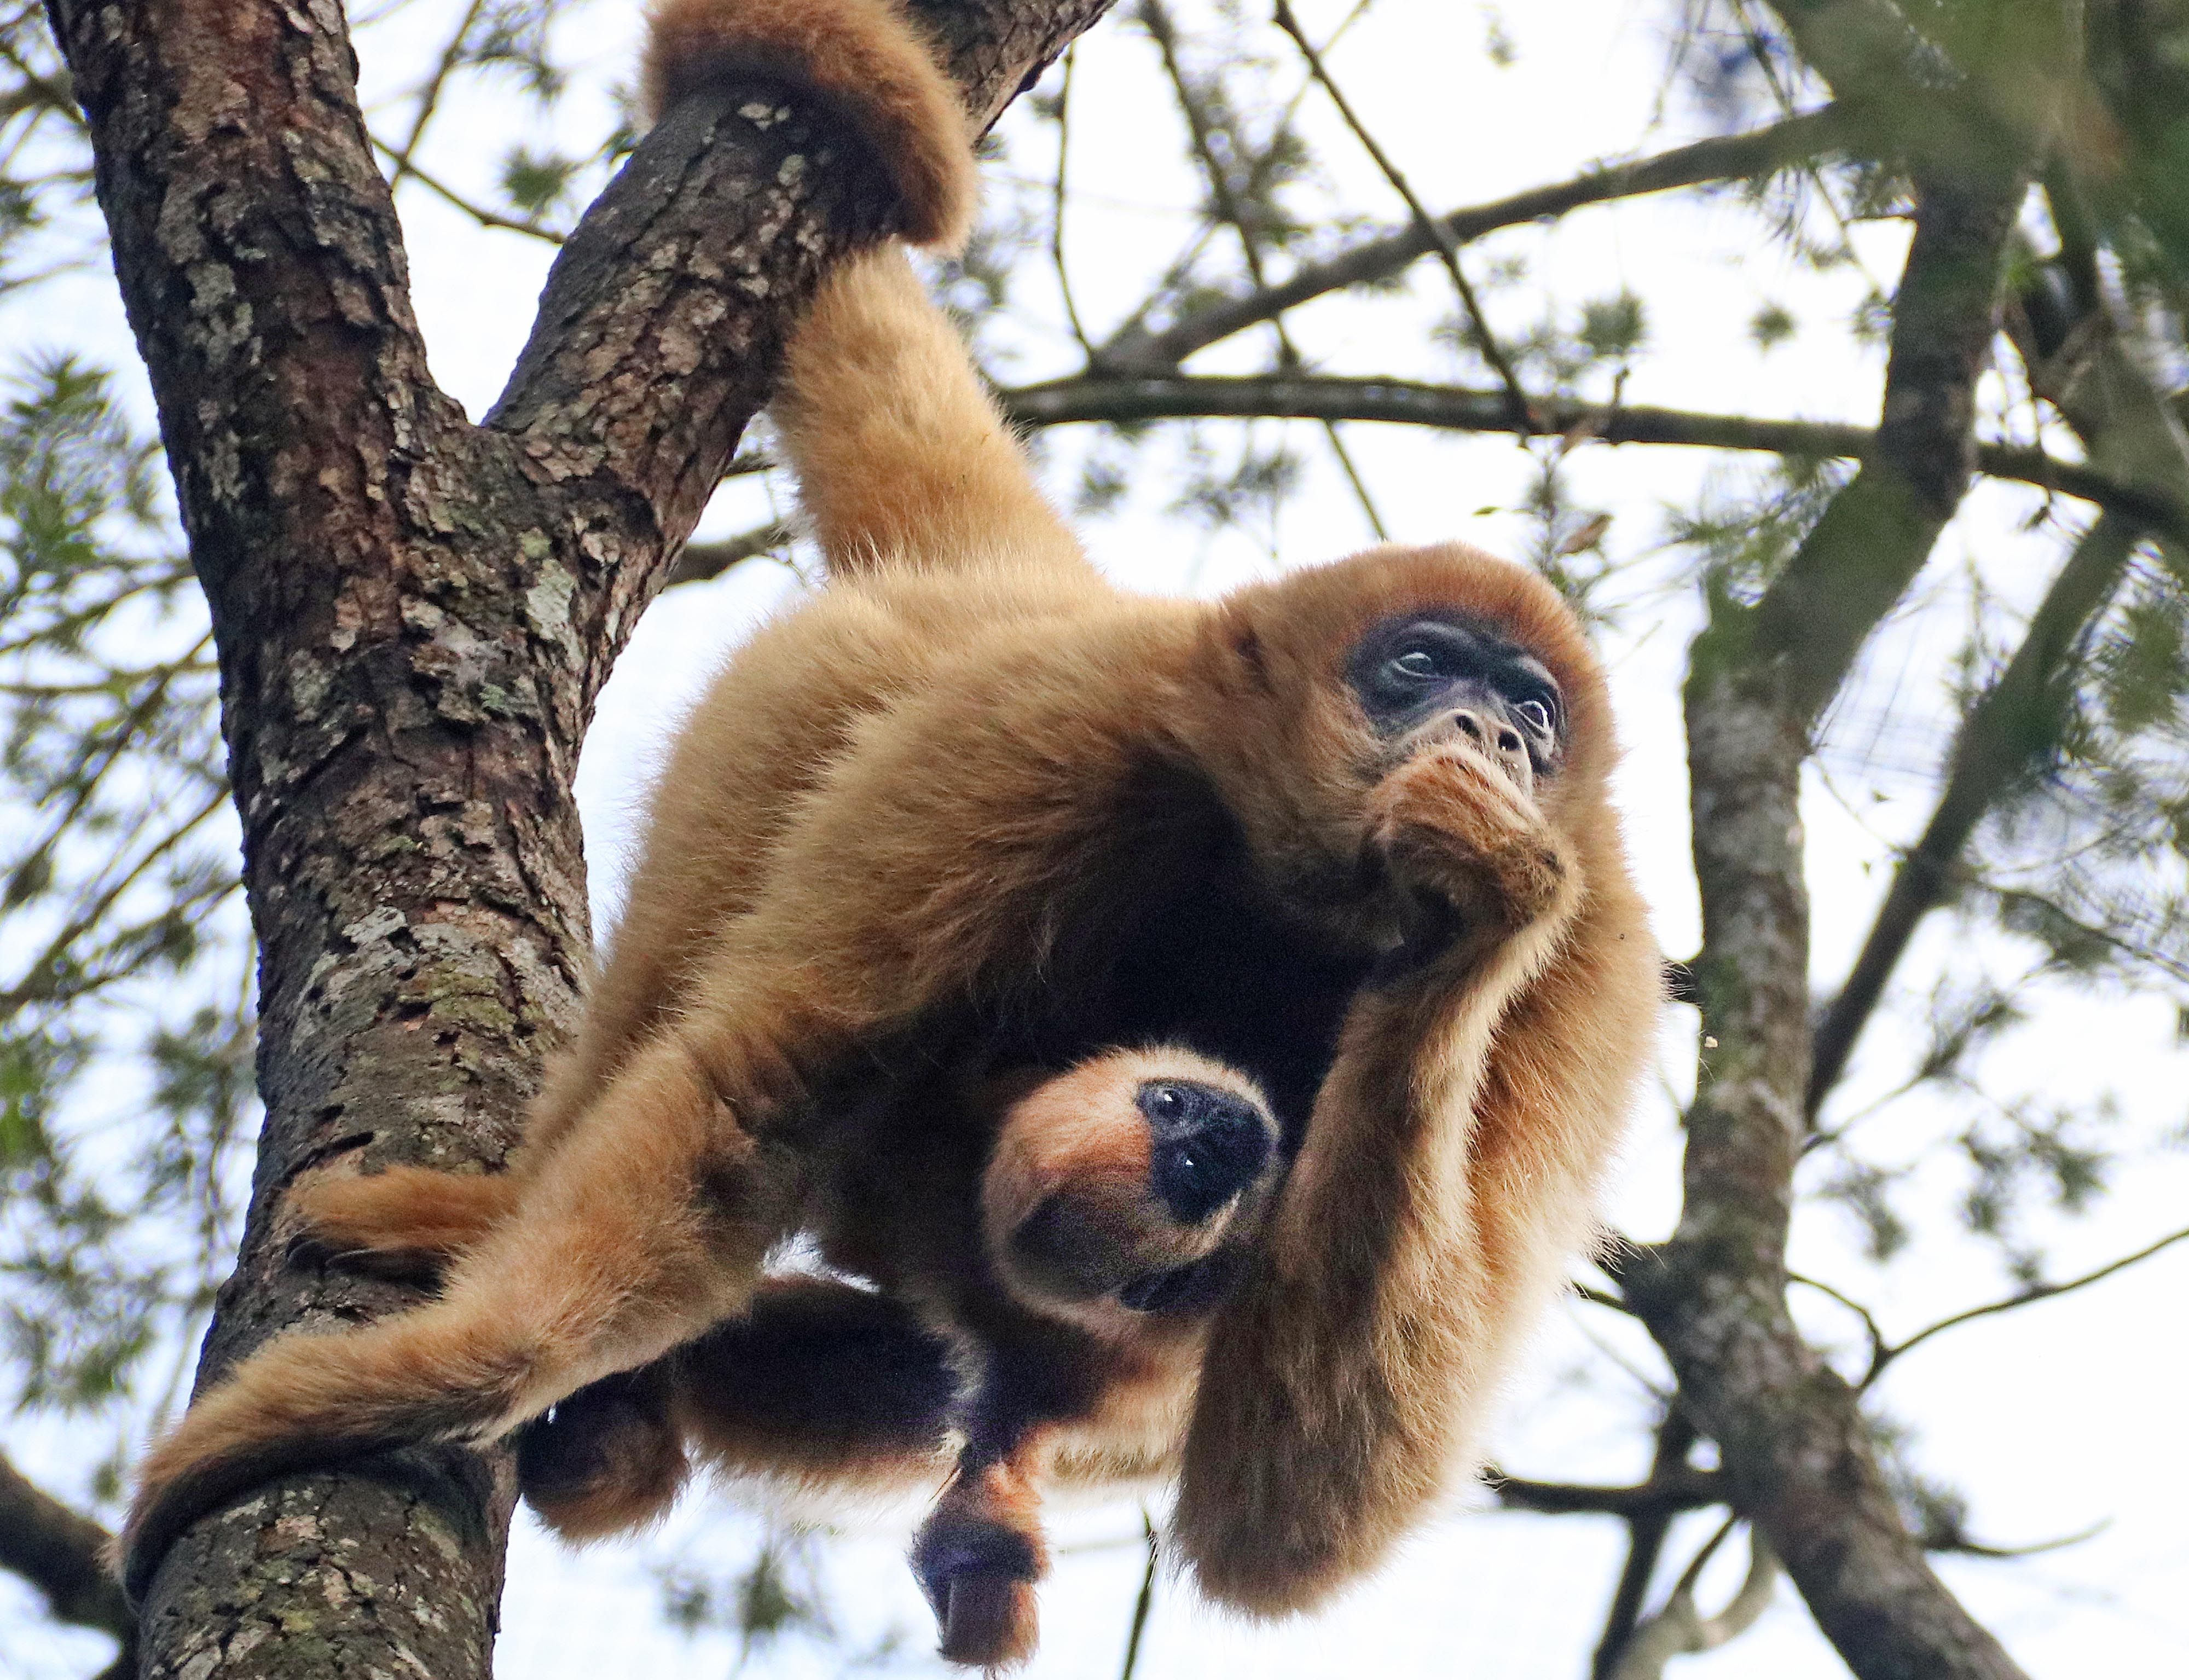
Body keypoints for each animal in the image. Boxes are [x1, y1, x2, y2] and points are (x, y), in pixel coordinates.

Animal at [117, 0, 1661, 1666]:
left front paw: (1469, 906)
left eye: (1533, 716)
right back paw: (510, 1226)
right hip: (947, 668)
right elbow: (749, 1093)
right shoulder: (1059, 728)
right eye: (1420, 668)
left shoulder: (1595, 961)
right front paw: (427, 1378)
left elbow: (1297, 1518)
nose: (1495, 736)